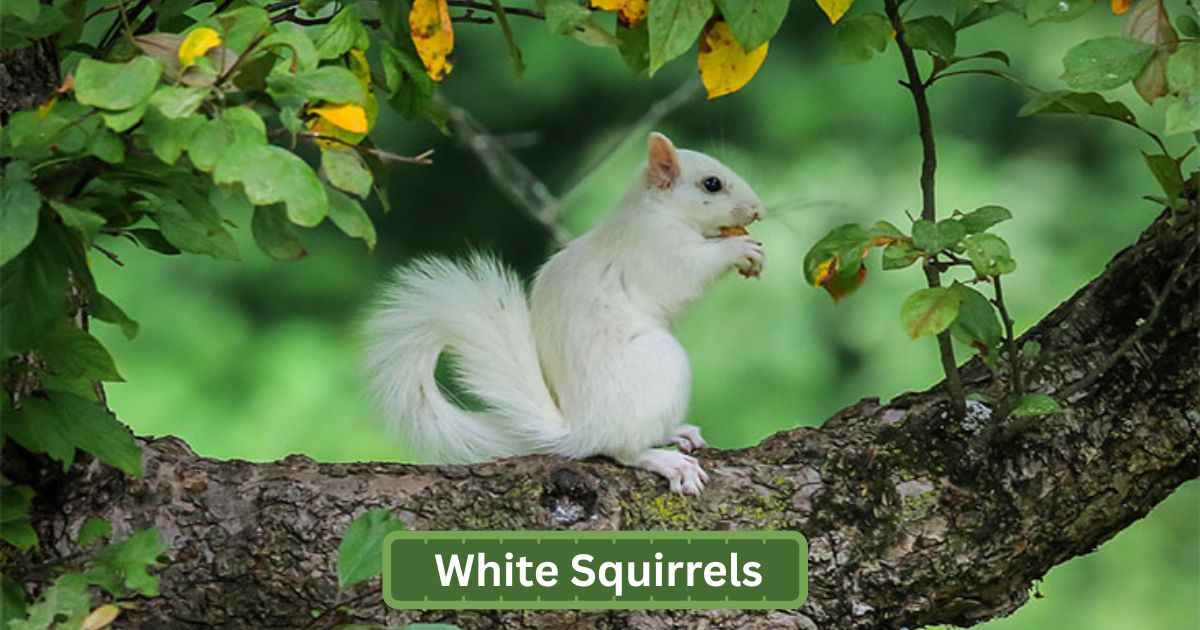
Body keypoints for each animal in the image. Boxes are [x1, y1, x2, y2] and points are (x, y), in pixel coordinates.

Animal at [363, 132, 765, 495]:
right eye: (712, 184)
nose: (759, 209)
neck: (656, 210)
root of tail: (582, 427)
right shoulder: (657, 250)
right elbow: (690, 271)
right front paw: (740, 249)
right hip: (662, 366)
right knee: (623, 448)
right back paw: (667, 462)